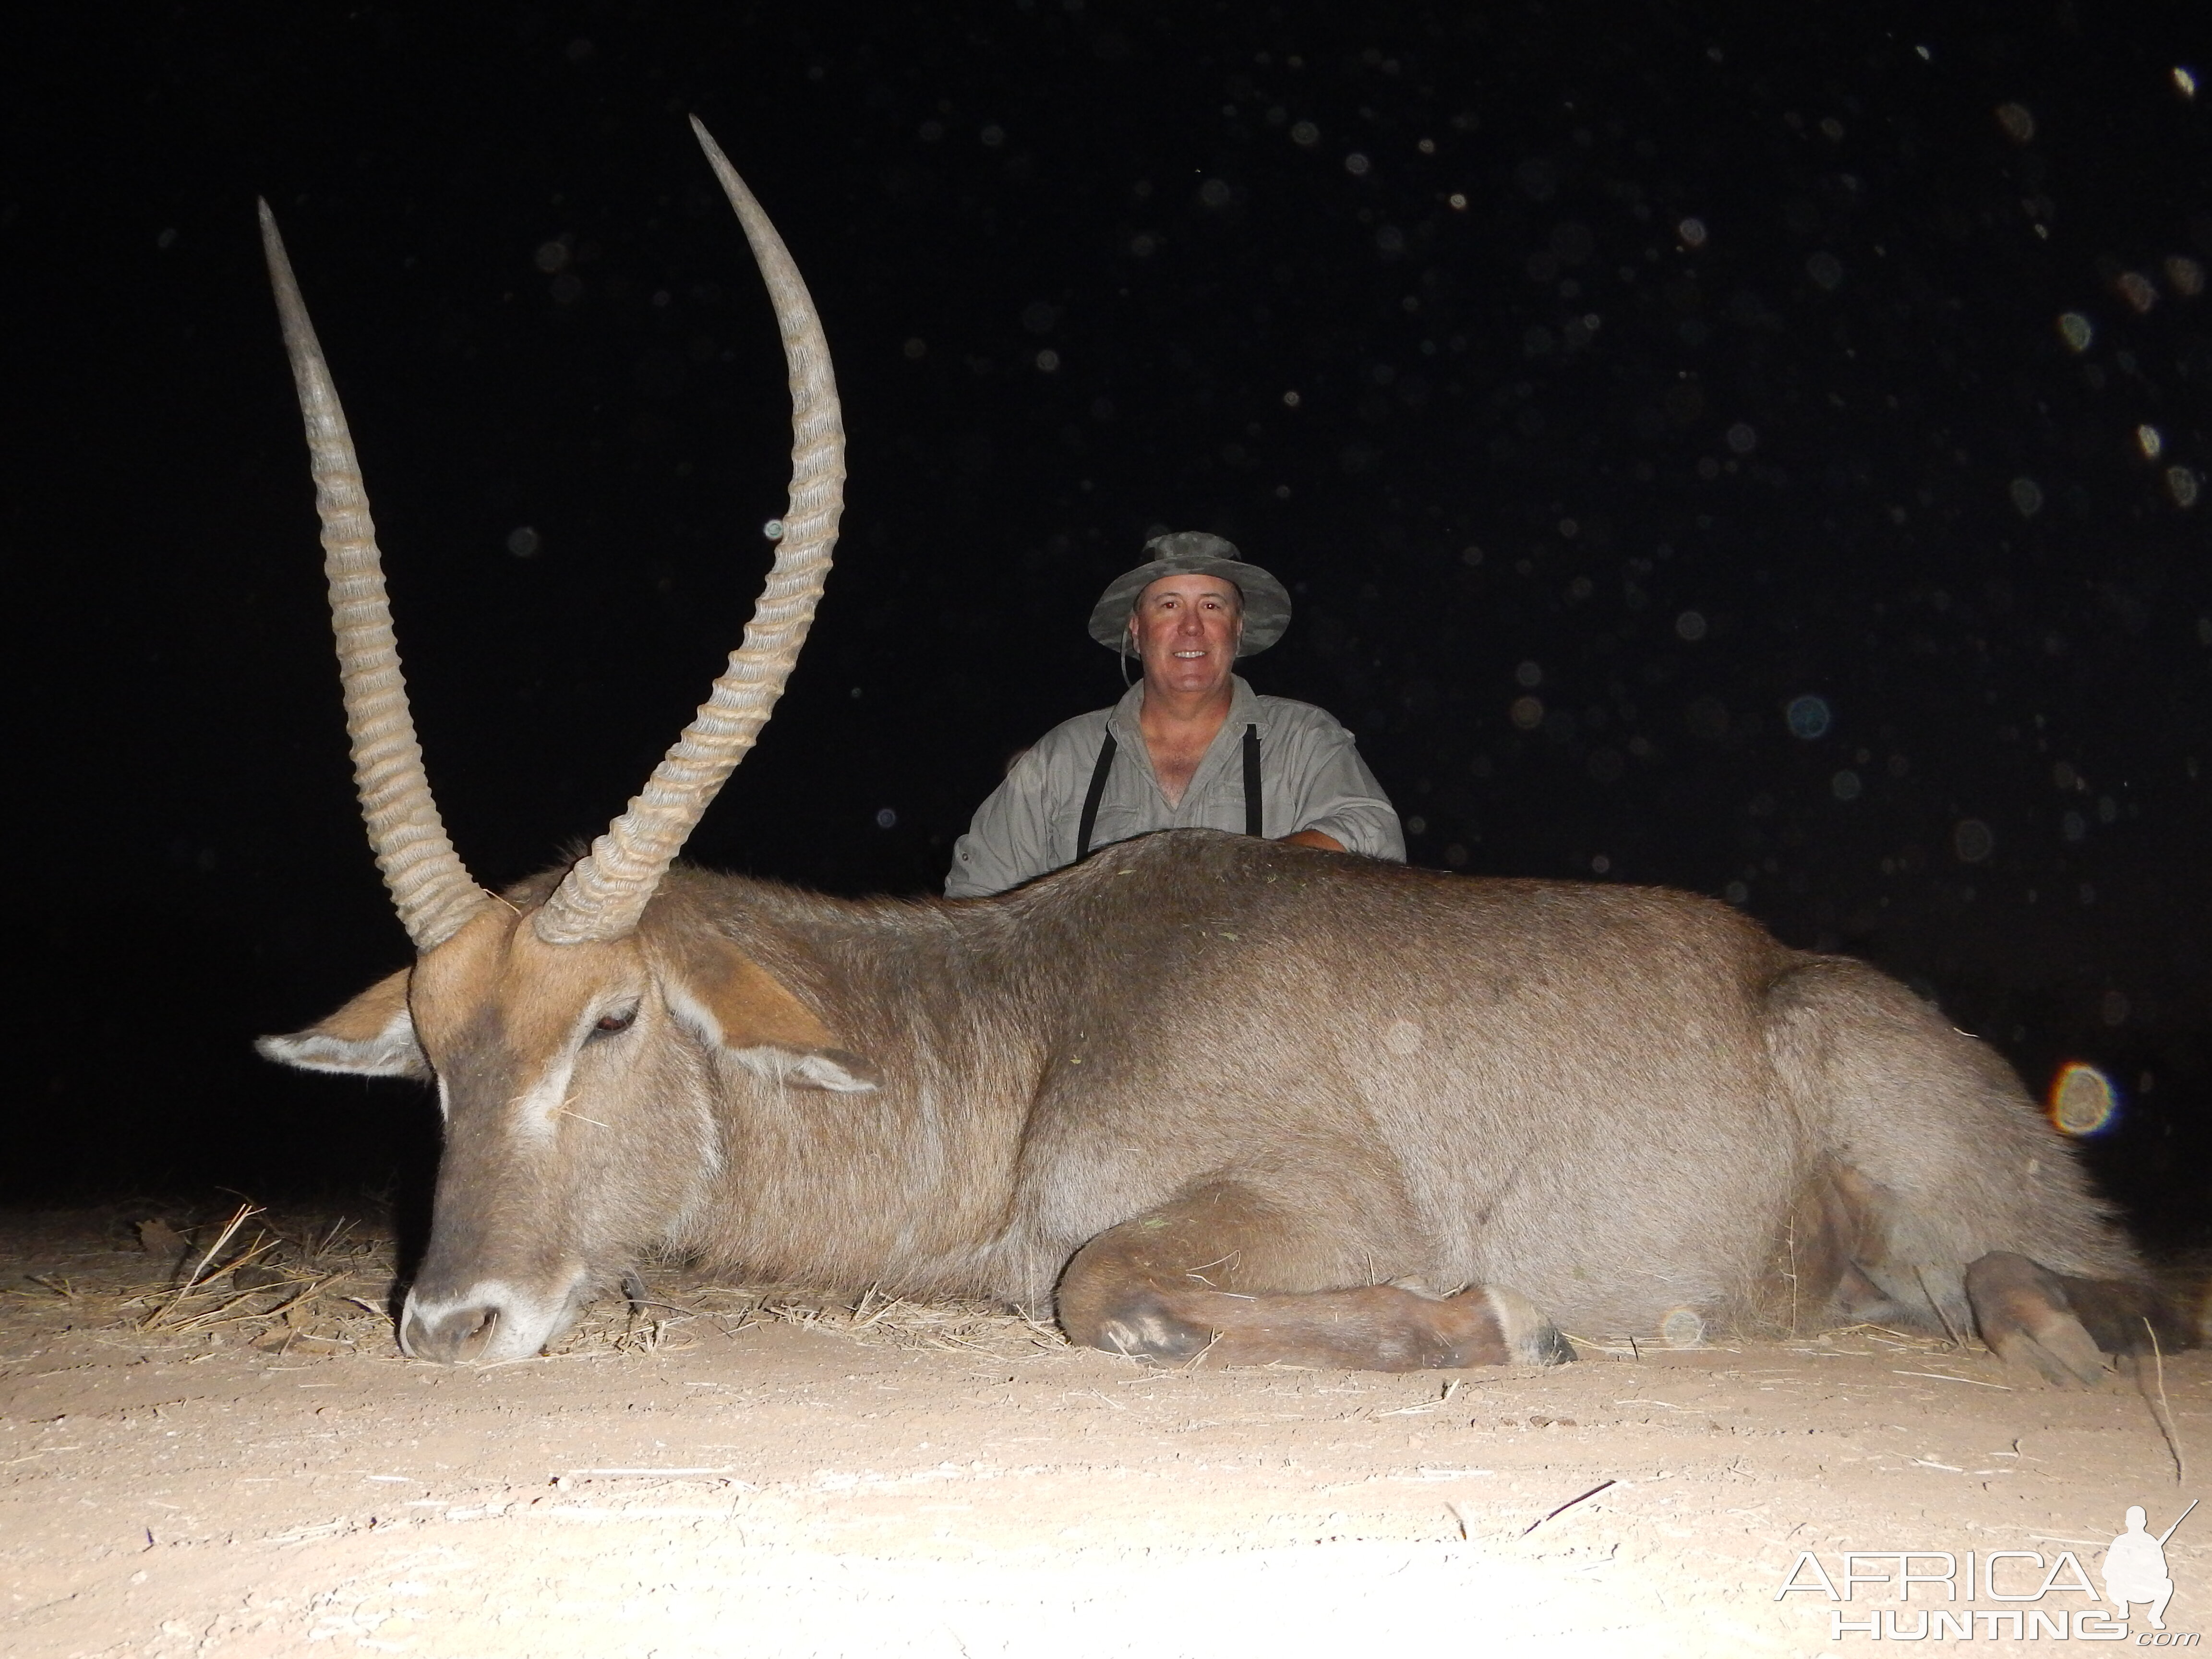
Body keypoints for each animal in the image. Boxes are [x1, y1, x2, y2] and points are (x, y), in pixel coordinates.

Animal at [263, 120, 2176, 1389]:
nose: (448, 1322)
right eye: (431, 1053)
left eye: (610, 1020)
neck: (1033, 1021)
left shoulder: (1295, 1201)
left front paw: (1485, 1318)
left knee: (2087, 1286)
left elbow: (1108, 1282)